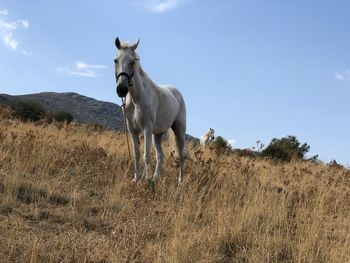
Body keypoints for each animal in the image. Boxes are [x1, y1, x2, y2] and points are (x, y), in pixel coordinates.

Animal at [114, 37, 186, 184]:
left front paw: (146, 180)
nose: (121, 89)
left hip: (179, 131)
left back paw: (180, 181)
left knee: (181, 155)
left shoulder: (147, 128)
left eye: (132, 62)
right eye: (115, 60)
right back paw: (156, 178)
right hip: (157, 135)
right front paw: (137, 178)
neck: (136, 98)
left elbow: (146, 155)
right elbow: (136, 154)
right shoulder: (132, 129)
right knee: (160, 155)